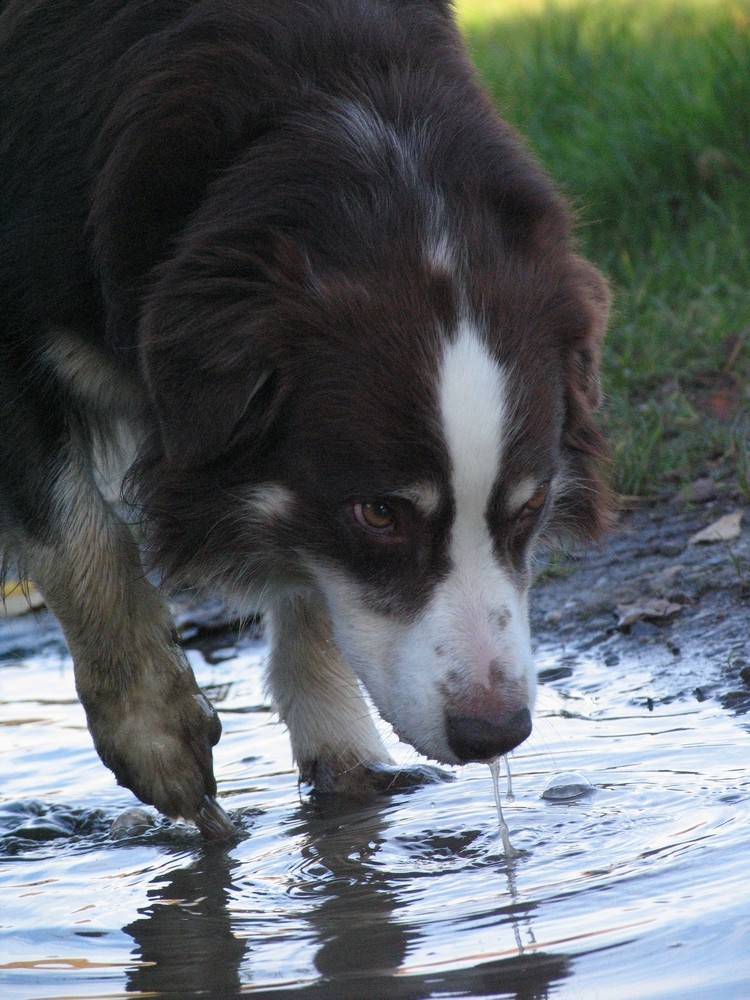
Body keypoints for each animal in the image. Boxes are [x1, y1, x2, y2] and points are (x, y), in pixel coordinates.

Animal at [0, 0, 612, 836]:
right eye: (380, 513)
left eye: (531, 504)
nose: (494, 734)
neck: (334, 99)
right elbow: (74, 528)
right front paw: (164, 745)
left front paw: (348, 763)